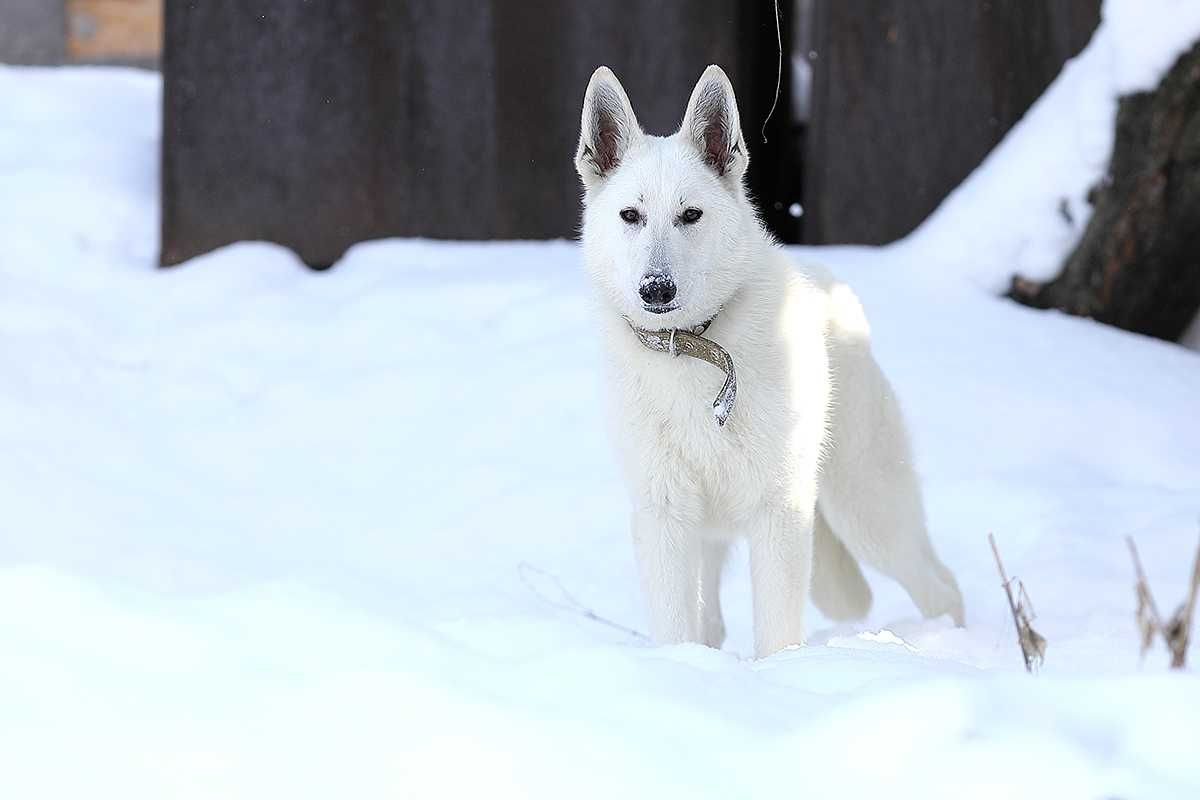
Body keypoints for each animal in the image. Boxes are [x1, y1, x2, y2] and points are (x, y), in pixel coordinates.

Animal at [573, 67, 964, 657]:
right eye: (630, 216)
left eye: (691, 215)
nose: (656, 289)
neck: (695, 347)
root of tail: (833, 289)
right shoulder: (665, 516)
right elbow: (676, 630)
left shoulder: (779, 511)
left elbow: (777, 636)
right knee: (710, 624)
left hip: (868, 513)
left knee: (942, 586)